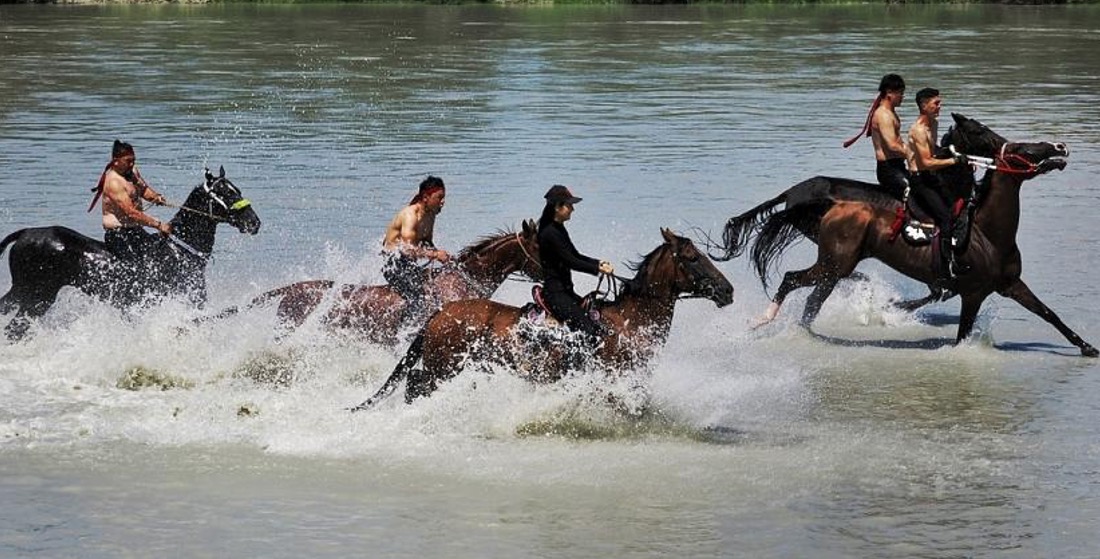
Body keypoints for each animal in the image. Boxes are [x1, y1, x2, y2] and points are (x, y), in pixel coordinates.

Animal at [0, 166, 262, 339]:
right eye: (226, 193)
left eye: (237, 189)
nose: (254, 223)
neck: (180, 250)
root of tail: (24, 234)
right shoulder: (188, 301)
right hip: (36, 295)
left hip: (27, 294)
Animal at [352, 228, 734, 410]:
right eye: (693, 257)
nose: (728, 290)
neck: (629, 321)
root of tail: (439, 313)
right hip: (440, 367)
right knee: (415, 384)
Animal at [717, 113, 1096, 357]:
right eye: (1024, 149)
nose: (1060, 147)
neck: (987, 232)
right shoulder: (973, 293)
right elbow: (959, 331)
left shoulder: (1011, 284)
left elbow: (1049, 313)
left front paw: (1088, 347)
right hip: (834, 263)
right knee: (794, 280)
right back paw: (766, 320)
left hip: (833, 265)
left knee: (812, 299)